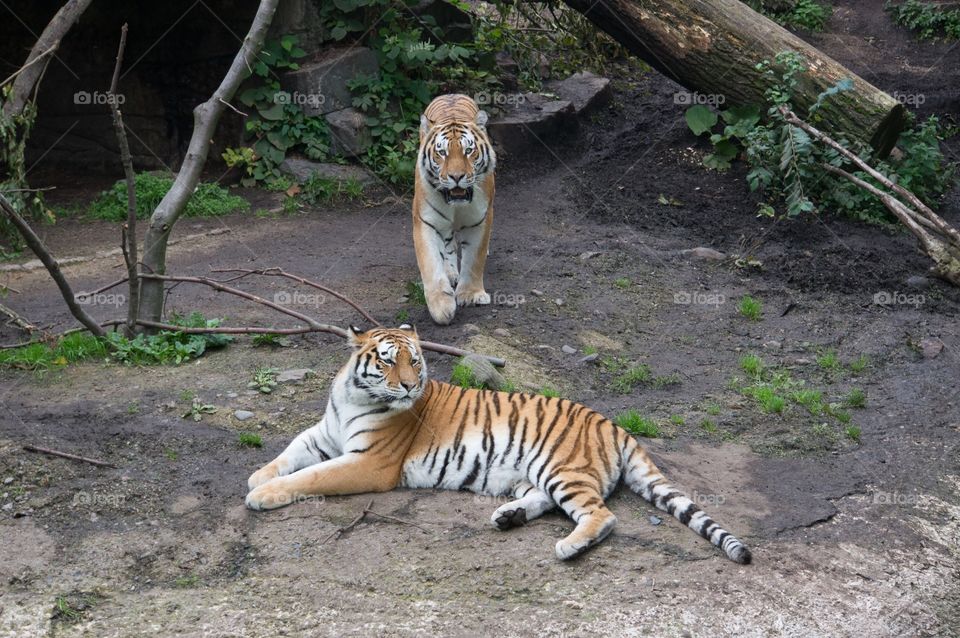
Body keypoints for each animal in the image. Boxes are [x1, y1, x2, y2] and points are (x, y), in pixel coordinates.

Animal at [245, 326, 752, 564]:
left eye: (416, 361)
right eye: (388, 361)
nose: (408, 386)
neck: (354, 396)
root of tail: (613, 424)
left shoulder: (368, 463)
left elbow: (312, 476)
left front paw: (262, 495)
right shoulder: (322, 433)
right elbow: (289, 454)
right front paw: (258, 476)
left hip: (561, 468)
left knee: (601, 516)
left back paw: (568, 547)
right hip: (530, 474)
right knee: (546, 500)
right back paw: (508, 517)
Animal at [412, 94, 496, 325]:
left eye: (469, 151)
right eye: (442, 152)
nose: (456, 176)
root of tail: (450, 94)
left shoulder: (480, 220)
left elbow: (474, 259)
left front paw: (471, 295)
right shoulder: (426, 222)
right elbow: (431, 264)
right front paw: (441, 306)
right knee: (448, 245)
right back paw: (450, 274)